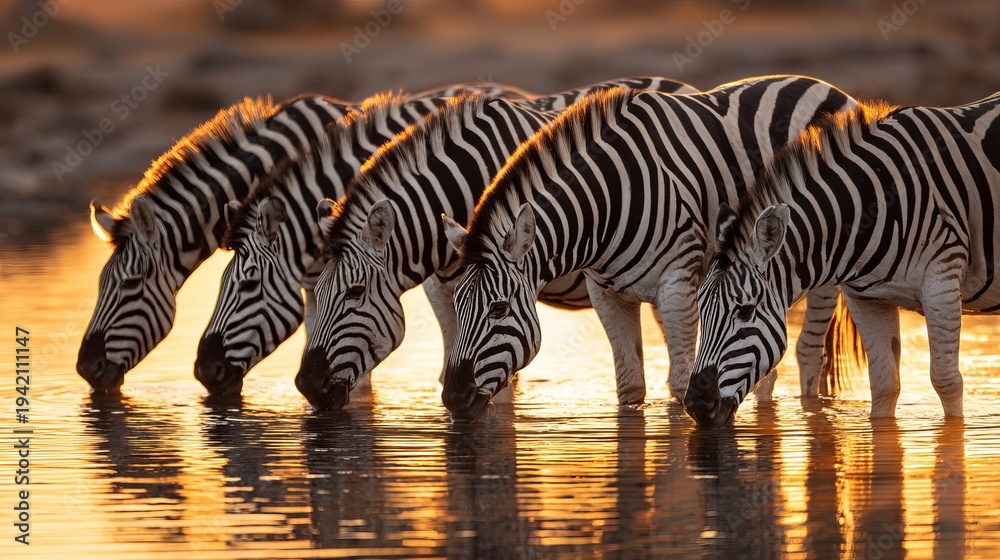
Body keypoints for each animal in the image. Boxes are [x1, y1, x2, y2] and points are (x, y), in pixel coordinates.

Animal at [439, 76, 858, 420]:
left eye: (498, 308)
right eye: (457, 303)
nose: (453, 399)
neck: (606, 203)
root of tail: (825, 86)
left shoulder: (677, 287)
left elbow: (679, 384)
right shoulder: (606, 293)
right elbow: (629, 387)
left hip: (825, 266)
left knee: (809, 352)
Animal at [685, 93, 1000, 427]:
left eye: (745, 311)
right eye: (700, 309)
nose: (696, 405)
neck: (874, 202)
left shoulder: (941, 282)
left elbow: (946, 381)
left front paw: (954, 433)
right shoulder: (869, 300)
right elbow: (884, 385)